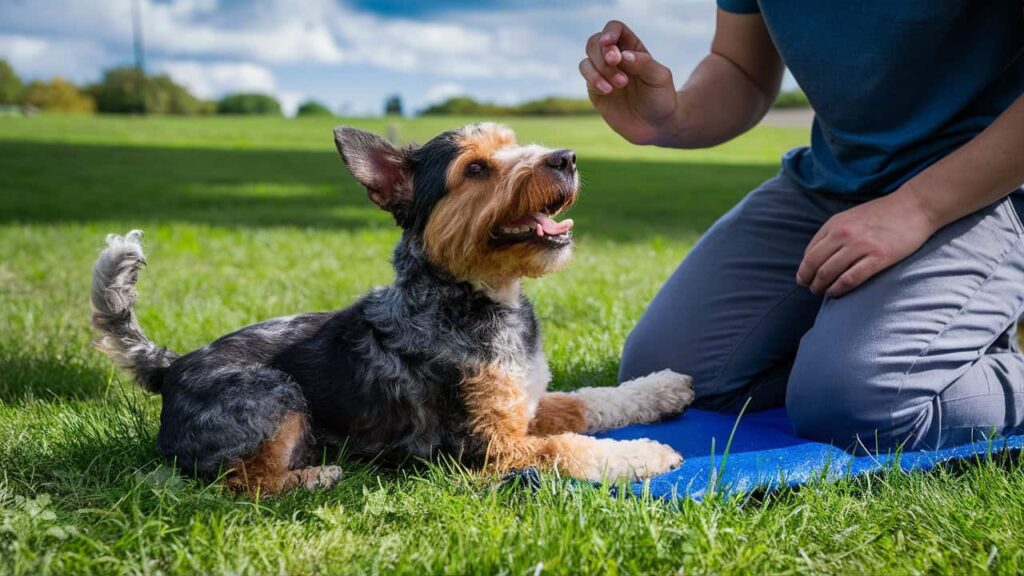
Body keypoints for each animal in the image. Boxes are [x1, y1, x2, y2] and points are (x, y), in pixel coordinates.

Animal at [90, 121, 696, 494]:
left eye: (512, 142)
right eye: (476, 170)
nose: (567, 158)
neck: (470, 295)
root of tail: (170, 365)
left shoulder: (523, 402)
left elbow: (587, 402)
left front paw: (664, 388)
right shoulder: (484, 445)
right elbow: (566, 449)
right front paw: (648, 455)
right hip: (274, 394)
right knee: (240, 483)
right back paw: (316, 477)